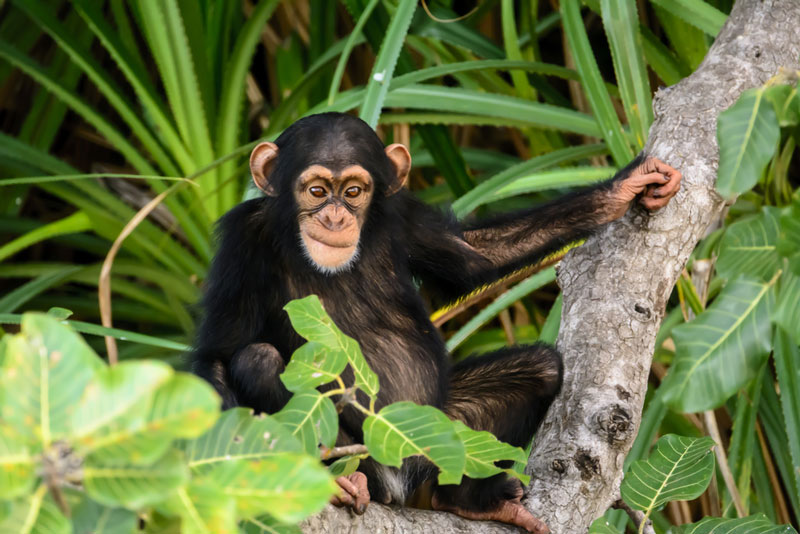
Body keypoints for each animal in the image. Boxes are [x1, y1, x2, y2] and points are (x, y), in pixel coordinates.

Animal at [189, 111, 680, 532]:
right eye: (315, 191)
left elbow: (475, 256)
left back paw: (468, 500)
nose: (335, 216)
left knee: (540, 370)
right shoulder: (241, 241)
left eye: (353, 191)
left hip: (437, 434)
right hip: (368, 452)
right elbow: (219, 353)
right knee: (258, 360)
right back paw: (344, 480)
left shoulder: (405, 216)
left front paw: (623, 189)